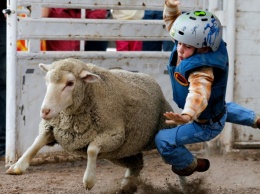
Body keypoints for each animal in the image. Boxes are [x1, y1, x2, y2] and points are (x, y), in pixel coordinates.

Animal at [6, 58, 178, 190]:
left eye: (70, 83)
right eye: (47, 81)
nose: (45, 111)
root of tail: (149, 77)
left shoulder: (114, 135)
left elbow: (92, 149)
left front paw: (88, 181)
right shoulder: (54, 128)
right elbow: (37, 142)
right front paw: (17, 166)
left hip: (156, 132)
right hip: (121, 151)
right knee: (136, 164)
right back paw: (126, 186)